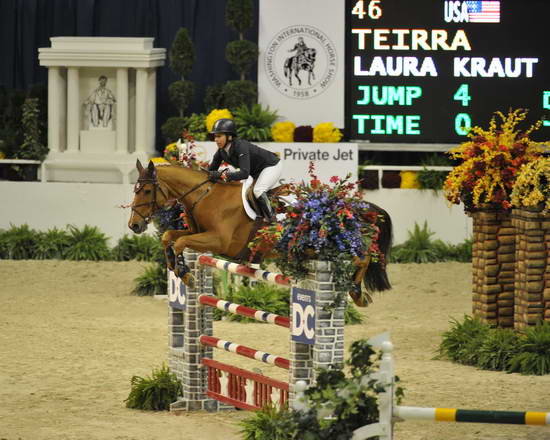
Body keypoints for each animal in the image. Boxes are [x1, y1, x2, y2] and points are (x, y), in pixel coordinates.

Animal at [128, 160, 392, 308]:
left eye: (147, 190)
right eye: (135, 190)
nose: (134, 226)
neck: (205, 196)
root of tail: (347, 205)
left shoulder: (219, 241)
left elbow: (180, 242)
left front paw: (185, 273)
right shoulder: (196, 232)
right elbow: (169, 237)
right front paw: (174, 266)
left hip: (337, 244)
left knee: (362, 257)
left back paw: (357, 294)